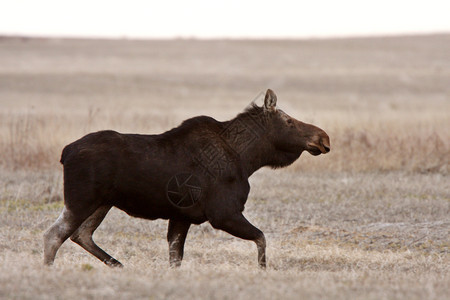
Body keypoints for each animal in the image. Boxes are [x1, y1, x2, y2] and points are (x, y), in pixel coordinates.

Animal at [44, 88, 330, 268]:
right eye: (289, 121)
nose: (323, 138)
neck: (248, 159)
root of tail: (65, 152)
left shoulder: (181, 216)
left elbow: (175, 258)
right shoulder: (223, 212)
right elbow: (261, 238)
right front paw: (262, 271)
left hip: (102, 202)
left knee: (81, 234)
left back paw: (117, 264)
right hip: (82, 199)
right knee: (54, 235)